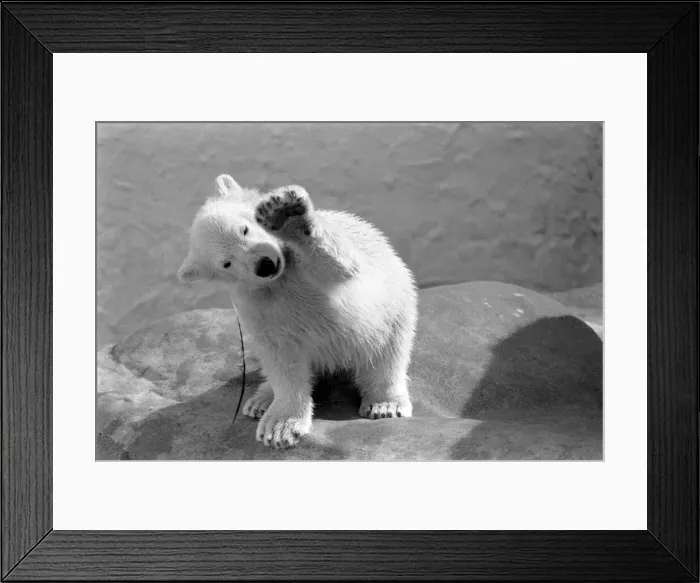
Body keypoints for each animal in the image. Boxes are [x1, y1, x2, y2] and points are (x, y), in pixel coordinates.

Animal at [178, 174, 418, 448]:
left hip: (393, 313)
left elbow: (341, 266)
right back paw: (260, 400)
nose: (264, 265)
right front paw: (280, 428)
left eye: (244, 229)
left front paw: (287, 216)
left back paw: (385, 404)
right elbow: (281, 358)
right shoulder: (256, 305)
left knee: (386, 358)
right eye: (227, 263)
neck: (279, 278)